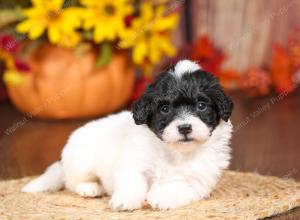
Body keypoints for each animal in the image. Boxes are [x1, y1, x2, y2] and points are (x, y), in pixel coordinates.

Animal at [22, 60, 234, 211]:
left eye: (201, 106)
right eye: (165, 109)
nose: (184, 128)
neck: (175, 152)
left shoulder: (200, 179)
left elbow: (180, 185)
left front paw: (161, 196)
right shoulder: (134, 163)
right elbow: (133, 181)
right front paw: (125, 200)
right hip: (81, 161)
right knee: (70, 181)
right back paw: (89, 187)